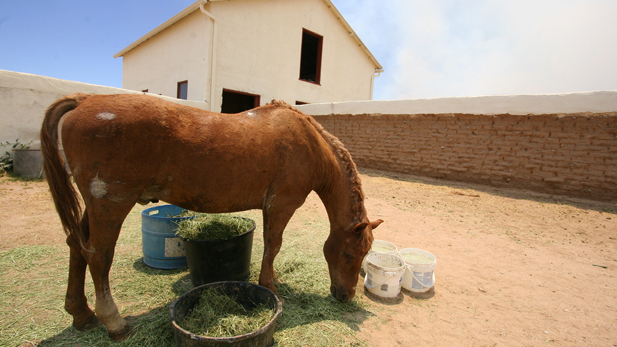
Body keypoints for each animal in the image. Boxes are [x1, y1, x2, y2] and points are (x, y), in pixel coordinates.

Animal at [39, 93, 380, 342]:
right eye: (348, 254)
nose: (346, 295)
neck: (309, 144)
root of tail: (85, 99)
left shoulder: (271, 208)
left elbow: (270, 246)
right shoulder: (281, 206)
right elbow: (273, 245)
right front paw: (270, 285)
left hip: (94, 206)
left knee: (76, 246)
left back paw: (81, 314)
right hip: (110, 204)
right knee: (98, 256)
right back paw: (114, 322)